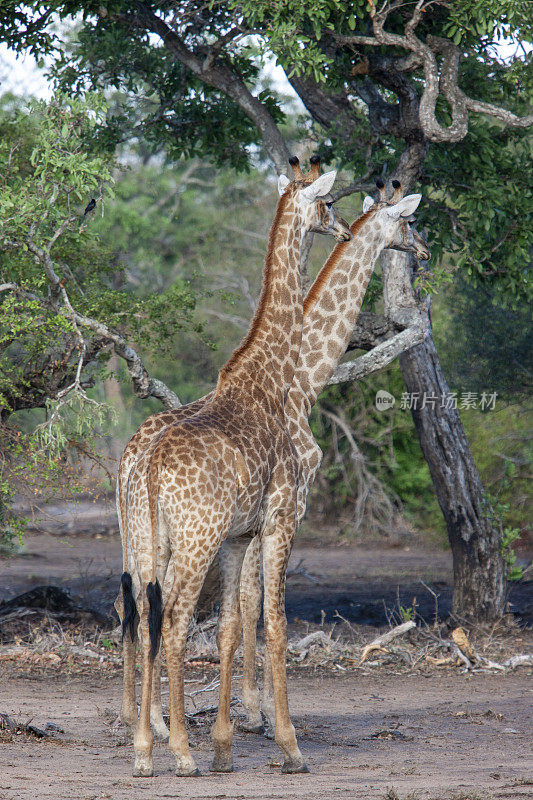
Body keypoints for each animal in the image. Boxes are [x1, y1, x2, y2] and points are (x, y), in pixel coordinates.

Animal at [122, 159, 352, 780]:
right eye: (328, 203)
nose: (345, 231)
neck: (271, 380)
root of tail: (147, 466)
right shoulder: (279, 519)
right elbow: (275, 624)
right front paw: (289, 745)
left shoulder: (237, 536)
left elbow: (229, 626)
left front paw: (225, 746)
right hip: (193, 538)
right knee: (175, 620)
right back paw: (177, 751)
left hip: (157, 538)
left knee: (149, 618)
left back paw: (147, 750)